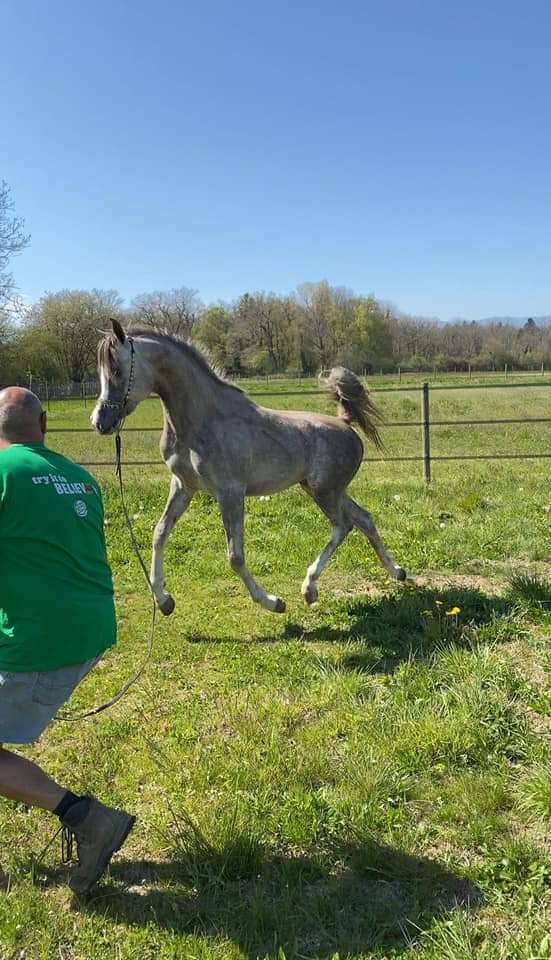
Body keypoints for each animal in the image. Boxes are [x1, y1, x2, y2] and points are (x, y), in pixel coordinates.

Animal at [92, 319, 406, 615]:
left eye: (117, 370)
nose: (99, 422)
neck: (202, 422)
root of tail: (344, 422)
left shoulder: (230, 492)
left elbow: (235, 556)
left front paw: (273, 602)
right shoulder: (183, 486)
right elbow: (159, 533)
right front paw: (164, 601)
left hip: (324, 492)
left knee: (343, 525)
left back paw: (309, 588)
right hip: (325, 489)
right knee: (364, 519)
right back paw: (397, 572)